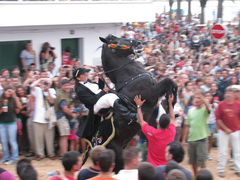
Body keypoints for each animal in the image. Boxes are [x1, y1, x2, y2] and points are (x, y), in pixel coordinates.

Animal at [97, 34, 178, 172]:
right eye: (115, 40)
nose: (138, 42)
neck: (128, 76)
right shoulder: (151, 93)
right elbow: (169, 81)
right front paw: (171, 102)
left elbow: (172, 84)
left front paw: (170, 104)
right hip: (118, 153)